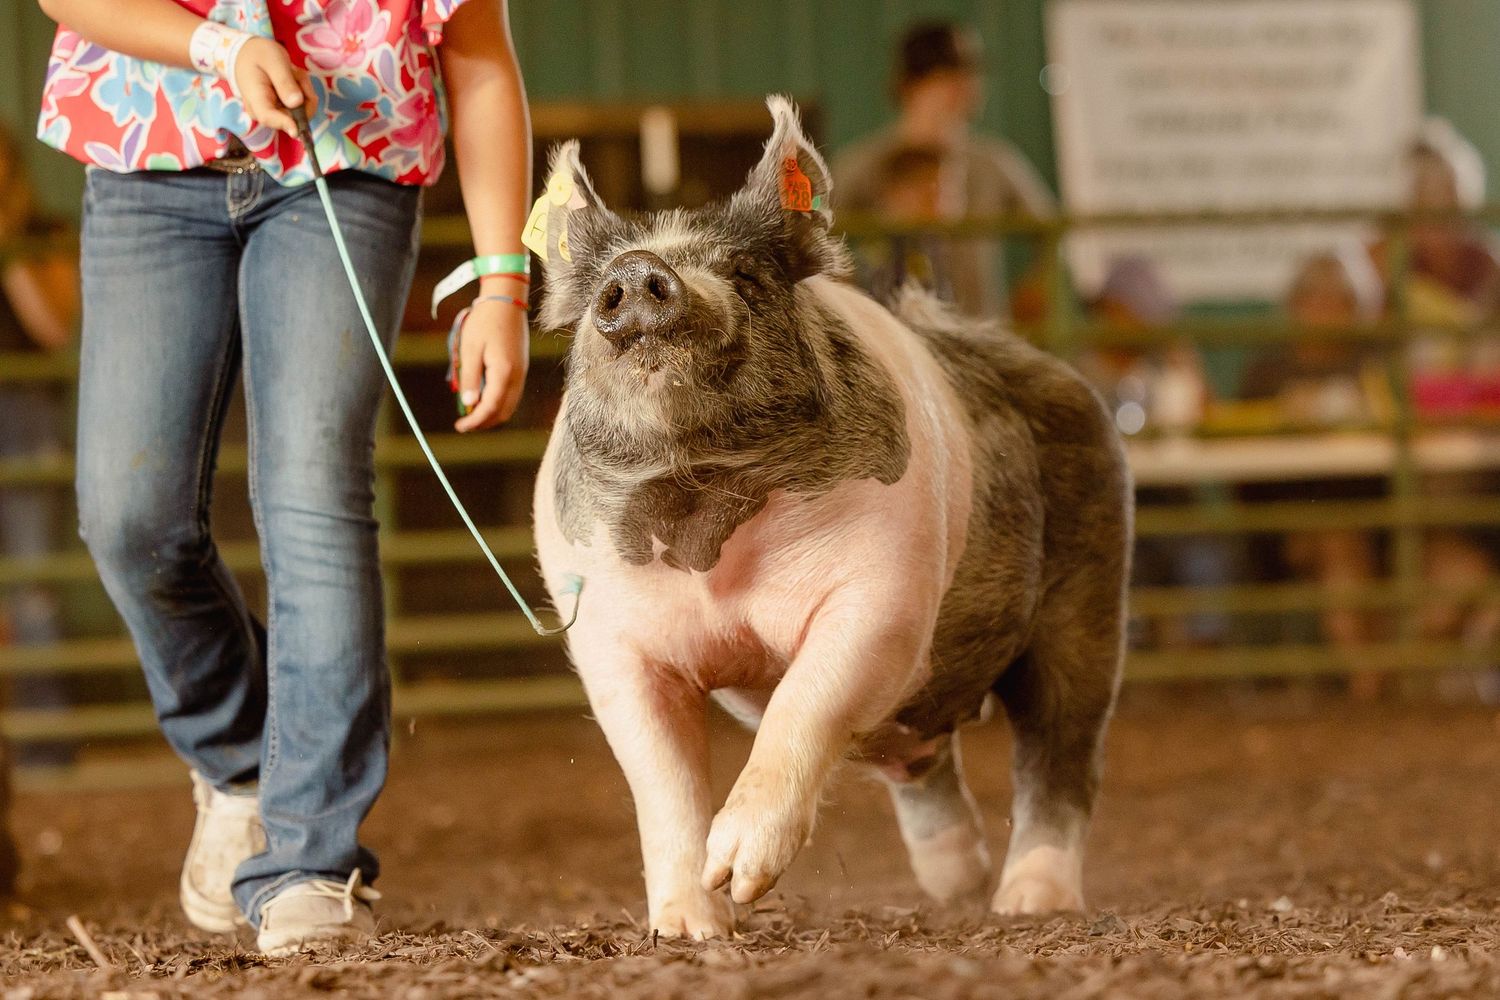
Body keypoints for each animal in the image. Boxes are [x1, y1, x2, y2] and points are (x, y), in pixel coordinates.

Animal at [531, 97, 1130, 938]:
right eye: (593, 299)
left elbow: (805, 698)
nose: (638, 272)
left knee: (1062, 750)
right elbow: (661, 781)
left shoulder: (884, 592)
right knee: (922, 759)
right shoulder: (612, 642)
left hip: (1089, 590)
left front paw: (738, 874)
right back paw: (956, 882)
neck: (706, 510)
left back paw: (1025, 904)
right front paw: (691, 926)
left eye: (746, 275)